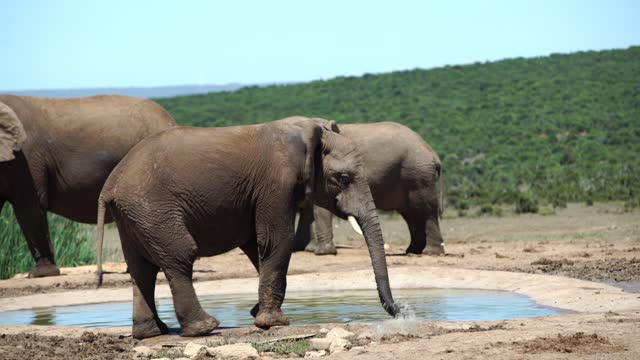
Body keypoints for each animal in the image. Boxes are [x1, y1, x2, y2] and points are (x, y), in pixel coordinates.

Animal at [94, 116, 400, 338]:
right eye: (343, 178)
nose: (399, 312)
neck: (306, 131)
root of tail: (110, 185)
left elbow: (256, 244)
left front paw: (257, 312)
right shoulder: (276, 183)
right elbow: (276, 240)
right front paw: (273, 322)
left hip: (133, 216)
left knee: (141, 269)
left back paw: (151, 332)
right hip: (152, 209)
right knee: (179, 256)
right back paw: (205, 328)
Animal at [292, 121, 442, 256]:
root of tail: (432, 153)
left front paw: (322, 253)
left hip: (418, 173)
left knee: (424, 209)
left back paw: (431, 253)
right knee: (411, 212)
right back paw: (413, 251)